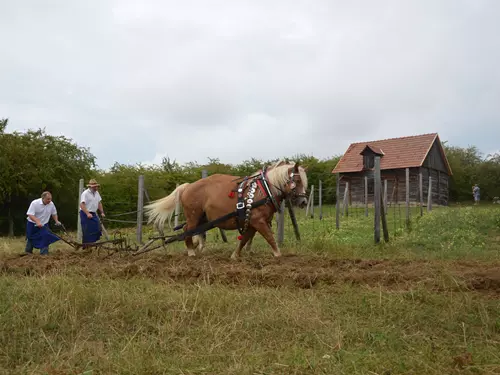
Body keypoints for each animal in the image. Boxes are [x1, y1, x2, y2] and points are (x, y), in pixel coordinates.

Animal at [145, 160, 306, 260]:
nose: (303, 201)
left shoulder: (253, 222)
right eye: (297, 181)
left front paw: (235, 256)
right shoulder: (258, 221)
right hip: (193, 216)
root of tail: (187, 186)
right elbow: (269, 237)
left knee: (194, 231)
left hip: (202, 218)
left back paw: (198, 249)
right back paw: (191, 252)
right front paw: (278, 255)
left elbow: (245, 239)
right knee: (186, 231)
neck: (264, 190)